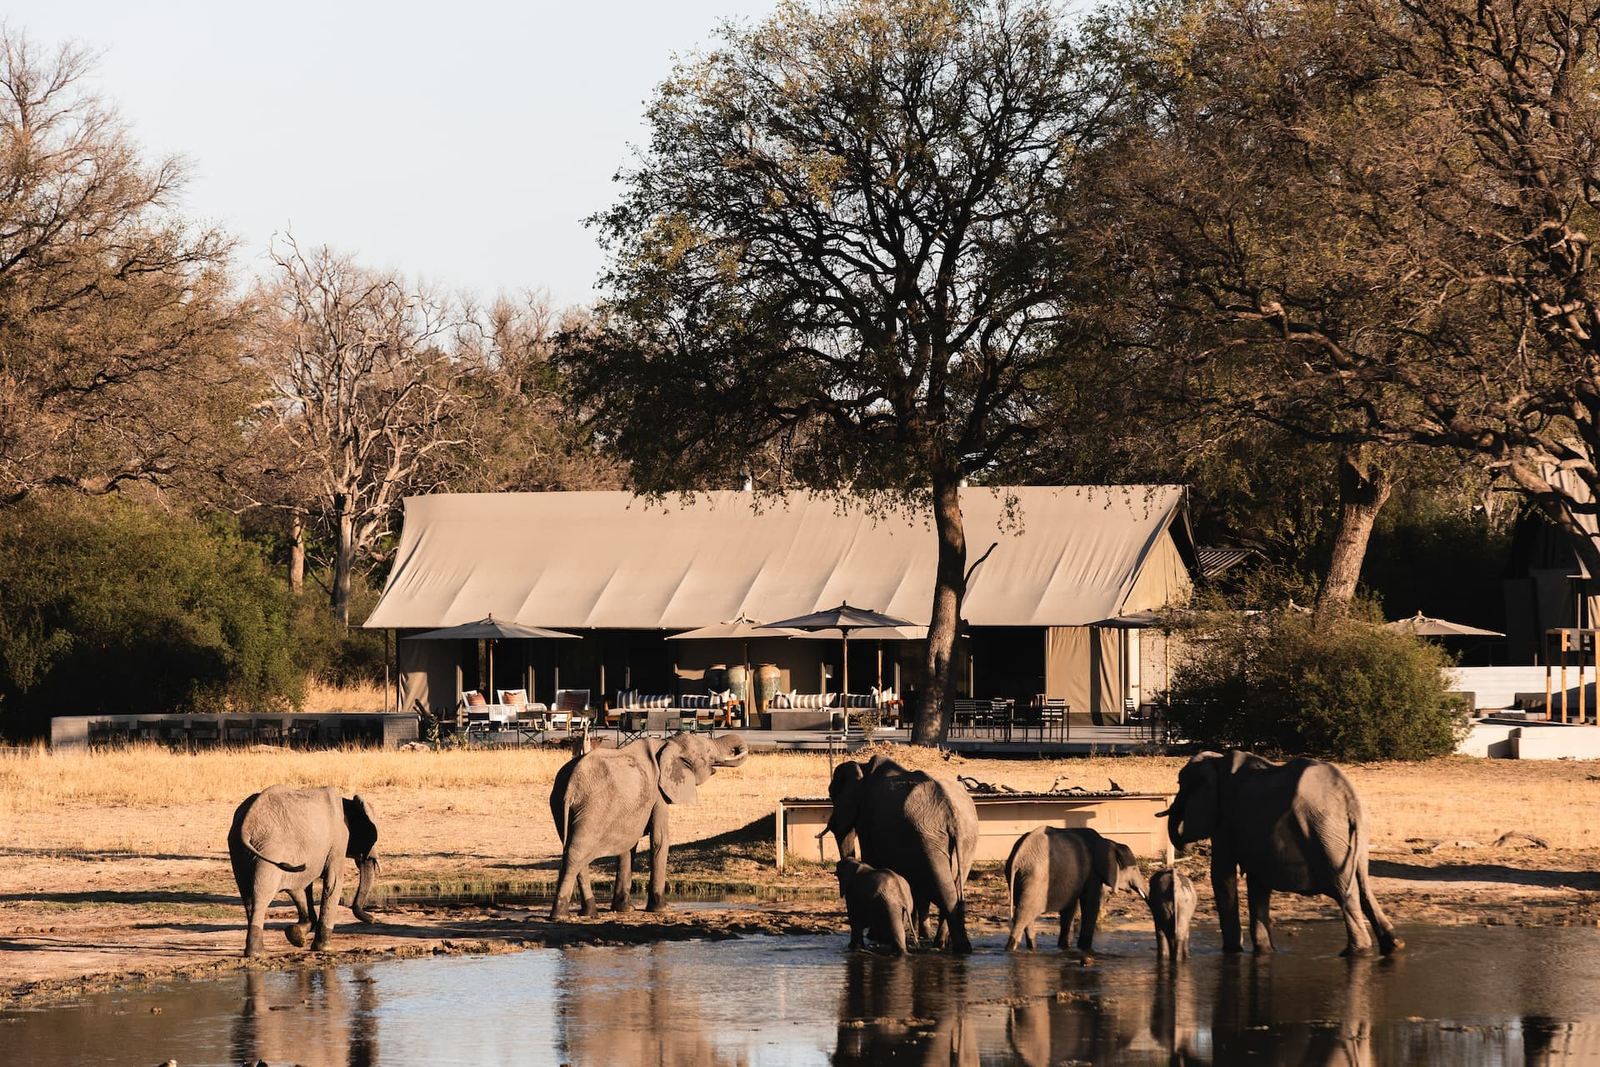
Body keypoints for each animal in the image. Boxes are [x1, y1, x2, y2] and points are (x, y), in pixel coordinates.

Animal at [227, 785, 379, 958]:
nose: (373, 919)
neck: (348, 802)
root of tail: (246, 824)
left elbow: (304, 886)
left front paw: (297, 936)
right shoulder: (338, 841)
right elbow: (333, 882)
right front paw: (325, 949)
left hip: (239, 850)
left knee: (249, 895)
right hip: (270, 847)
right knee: (262, 893)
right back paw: (258, 954)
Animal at [549, 731, 747, 918]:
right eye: (708, 752)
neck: (667, 744)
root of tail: (571, 787)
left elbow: (628, 848)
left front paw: (625, 909)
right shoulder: (658, 793)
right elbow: (660, 840)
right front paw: (662, 909)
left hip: (560, 805)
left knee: (574, 853)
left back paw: (589, 913)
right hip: (593, 808)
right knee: (576, 853)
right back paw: (560, 915)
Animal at [823, 755, 979, 953]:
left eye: (831, 794)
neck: (863, 767)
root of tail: (952, 814)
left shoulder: (868, 818)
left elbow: (871, 857)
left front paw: (876, 936)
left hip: (929, 837)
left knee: (944, 890)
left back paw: (952, 947)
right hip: (964, 839)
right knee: (952, 886)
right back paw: (947, 945)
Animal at [1004, 826, 1146, 953]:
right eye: (1134, 868)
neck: (1109, 842)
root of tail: (1017, 859)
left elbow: (1070, 908)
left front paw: (1065, 947)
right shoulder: (1092, 872)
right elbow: (1090, 903)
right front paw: (1084, 949)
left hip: (1022, 878)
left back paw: (1032, 948)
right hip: (1035, 878)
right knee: (1023, 914)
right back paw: (1011, 949)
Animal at [1164, 749, 1402, 956]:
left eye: (1180, 784)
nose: (1187, 847)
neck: (1216, 762)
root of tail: (1349, 801)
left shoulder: (1225, 819)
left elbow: (1222, 876)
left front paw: (1232, 952)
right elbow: (1257, 883)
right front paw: (1265, 952)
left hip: (1325, 835)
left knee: (1344, 889)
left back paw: (1356, 951)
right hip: (1353, 836)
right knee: (1362, 885)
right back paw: (1394, 944)